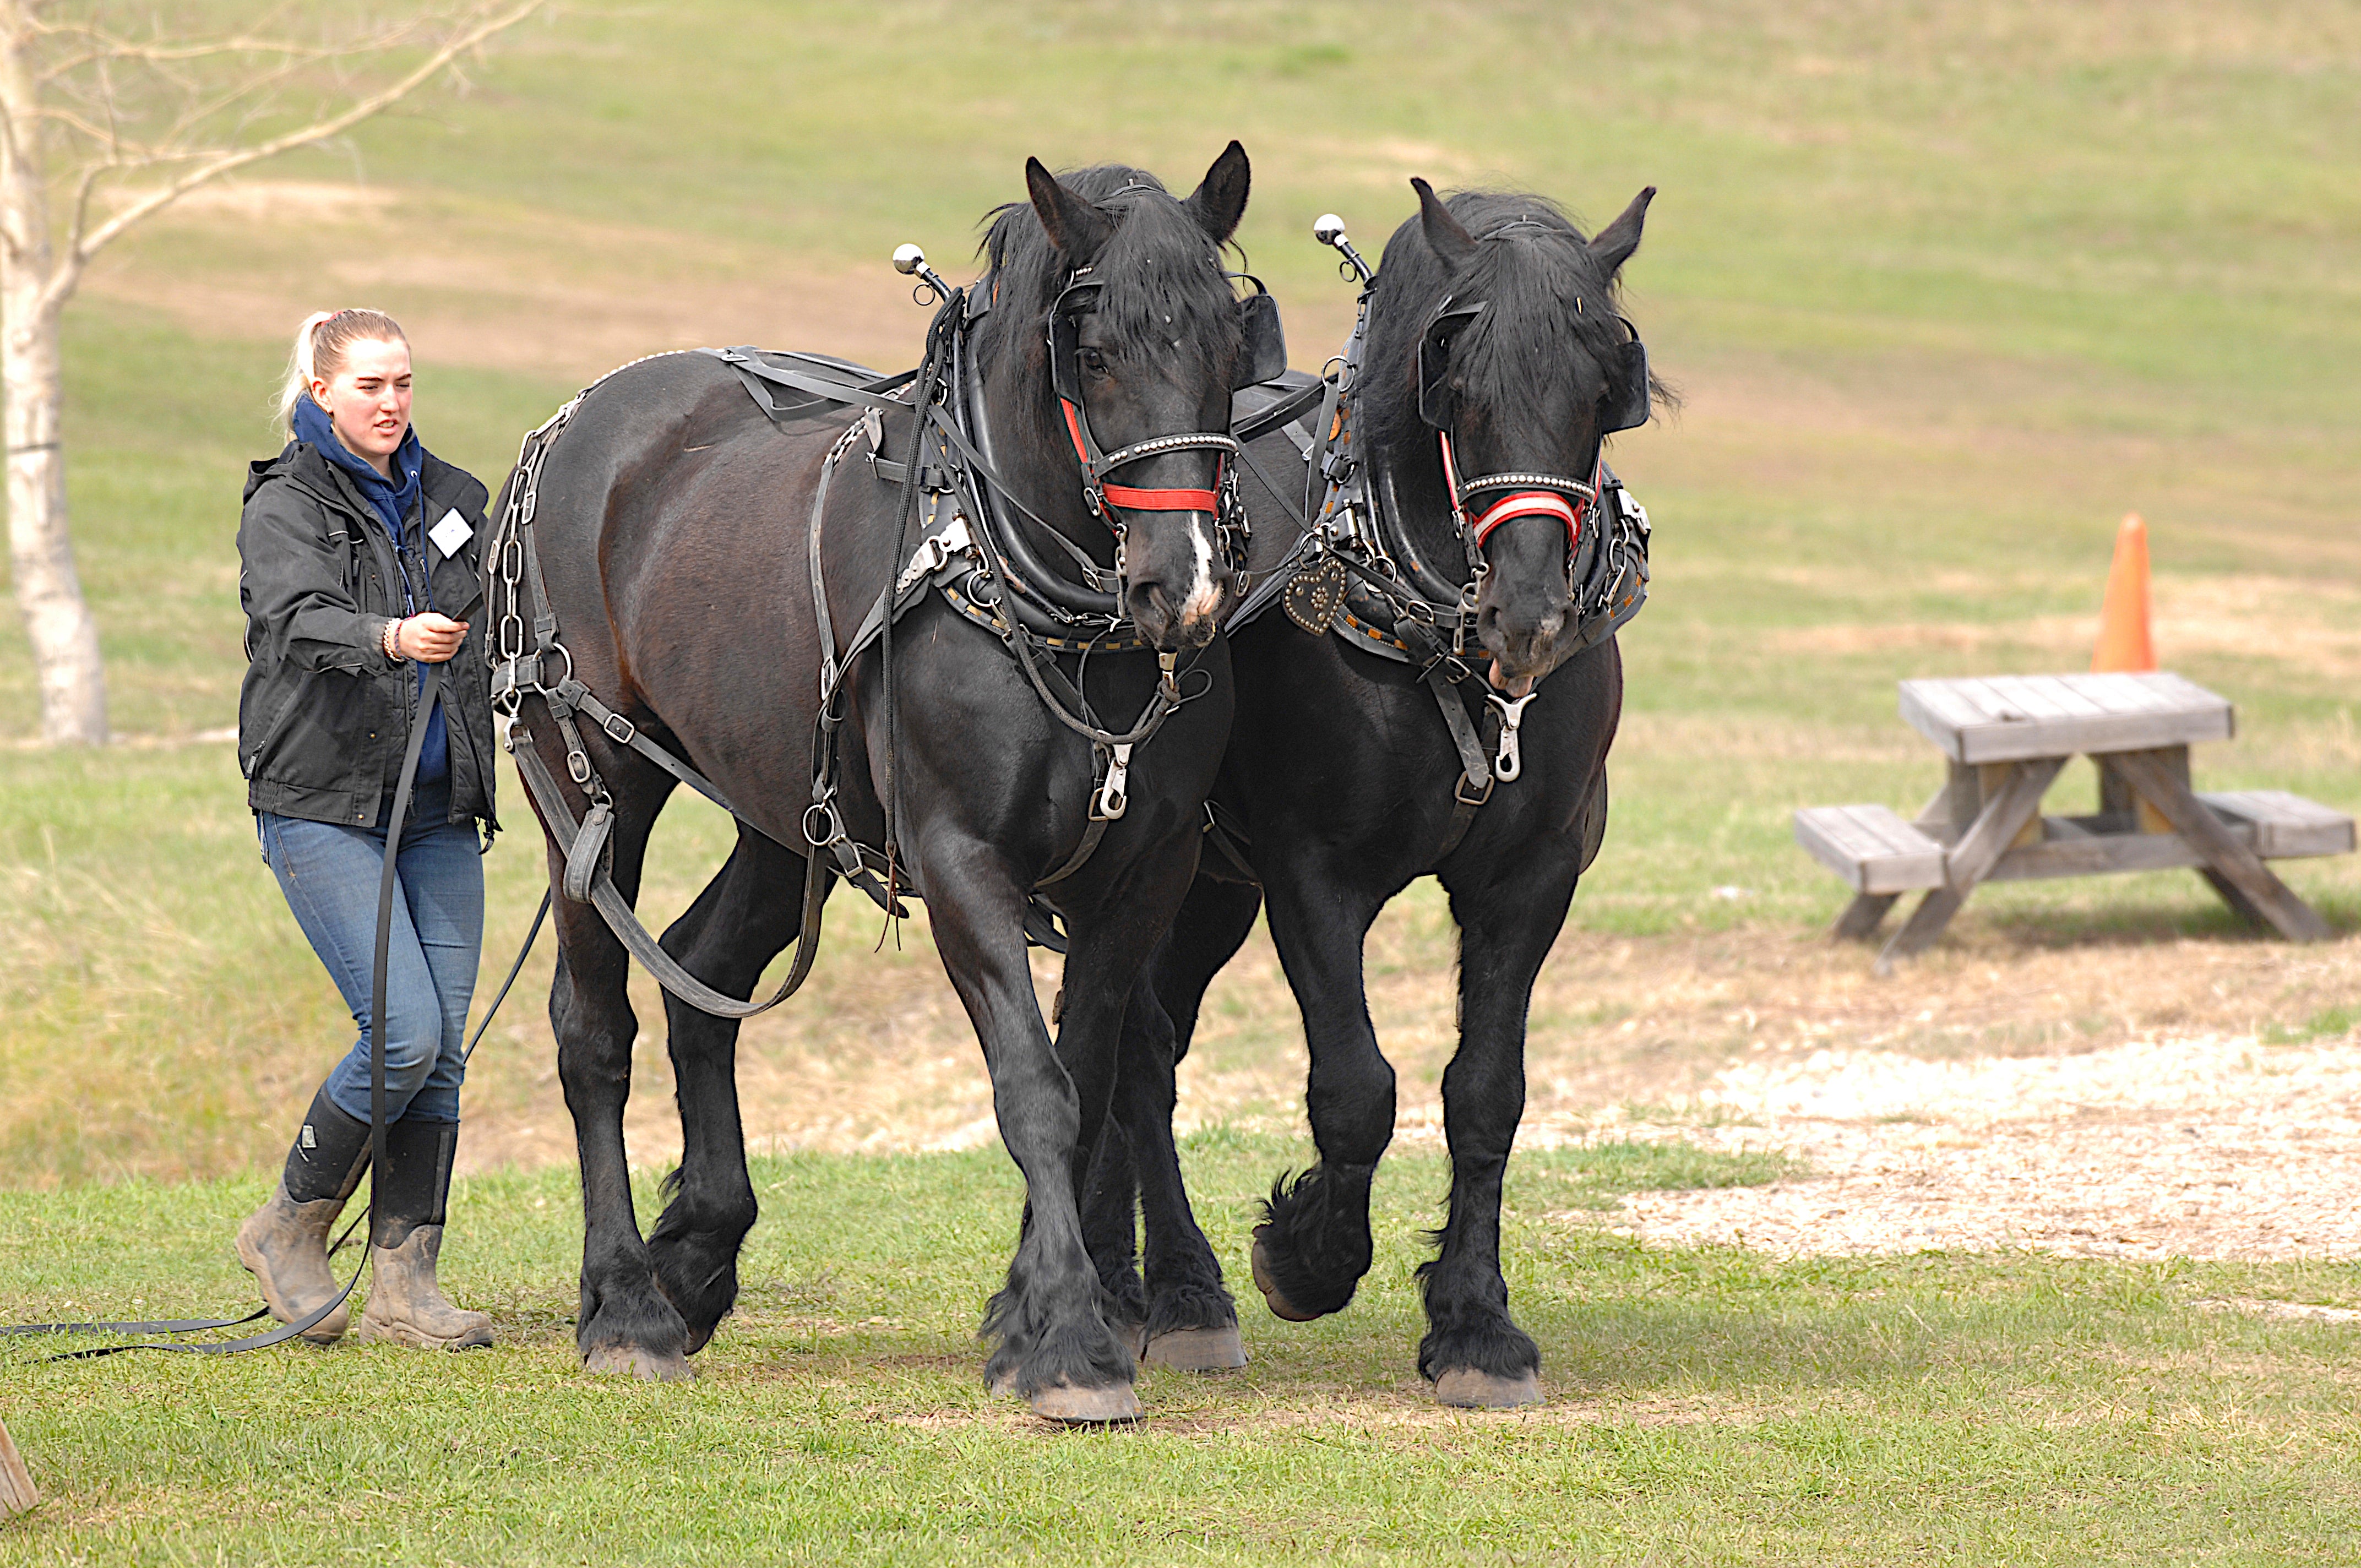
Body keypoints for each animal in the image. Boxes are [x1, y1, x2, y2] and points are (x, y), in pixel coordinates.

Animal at [505, 147, 1265, 1417]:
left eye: (1226, 344)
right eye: (1092, 349)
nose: (1185, 585)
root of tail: (577, 423)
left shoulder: (1143, 870)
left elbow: (1087, 1074)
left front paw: (1024, 1315)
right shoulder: (962, 861)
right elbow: (1034, 1086)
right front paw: (1071, 1339)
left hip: (782, 807)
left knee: (703, 971)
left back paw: (696, 1251)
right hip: (592, 774)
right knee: (592, 1025)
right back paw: (624, 1303)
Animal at [1086, 181, 1662, 1407]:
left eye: (1602, 388)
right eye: (1457, 384)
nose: (1528, 613)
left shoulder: (1532, 874)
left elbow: (1484, 1088)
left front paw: (1475, 1323)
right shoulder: (1311, 872)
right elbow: (1354, 1086)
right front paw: (1305, 1253)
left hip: (1210, 890)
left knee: (1136, 1036)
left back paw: (1131, 1278)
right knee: (1137, 1047)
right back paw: (1173, 1291)